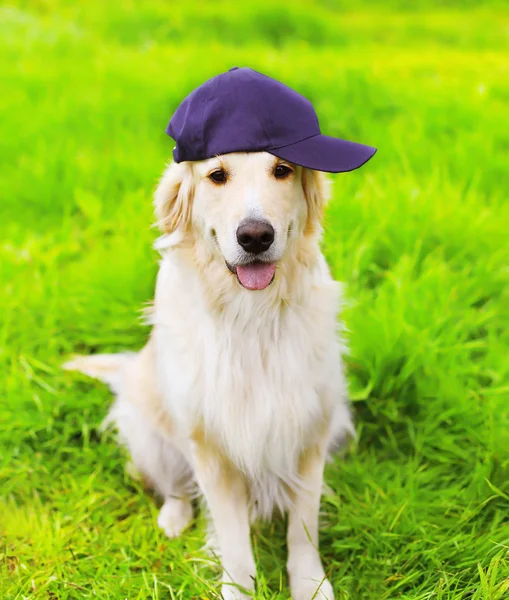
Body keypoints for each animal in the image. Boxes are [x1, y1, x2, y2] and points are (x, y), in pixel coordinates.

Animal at [66, 151, 354, 600]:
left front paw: (309, 583)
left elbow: (303, 528)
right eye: (217, 176)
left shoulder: (311, 432)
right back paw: (173, 518)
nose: (255, 236)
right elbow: (234, 541)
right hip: (148, 433)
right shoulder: (211, 448)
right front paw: (238, 586)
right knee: (175, 487)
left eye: (282, 170)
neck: (252, 315)